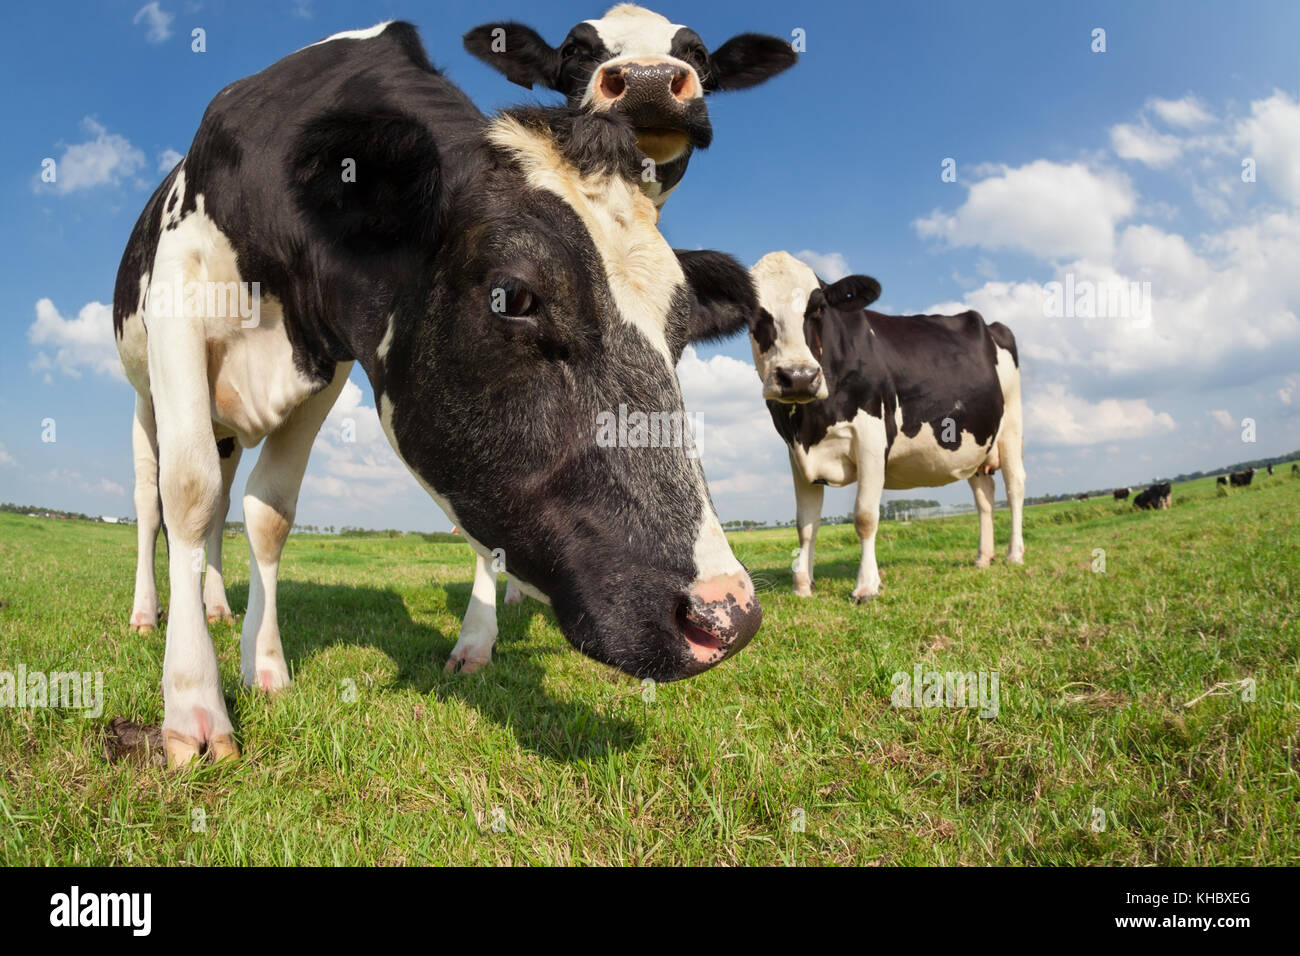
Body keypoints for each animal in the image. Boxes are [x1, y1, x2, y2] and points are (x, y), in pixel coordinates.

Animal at [114, 21, 763, 766]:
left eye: (681, 330)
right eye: (515, 298)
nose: (726, 615)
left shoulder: (329, 365)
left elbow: (268, 513)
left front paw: (265, 666)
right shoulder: (177, 296)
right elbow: (187, 494)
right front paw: (194, 706)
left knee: (225, 500)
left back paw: (219, 605)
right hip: (144, 399)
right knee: (156, 502)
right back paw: (146, 613)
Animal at [746, 252, 1025, 603]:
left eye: (819, 307)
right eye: (750, 311)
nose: (798, 376)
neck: (810, 421)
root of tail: (990, 324)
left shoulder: (870, 438)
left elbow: (865, 516)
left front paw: (866, 586)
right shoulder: (797, 452)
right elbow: (805, 524)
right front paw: (802, 586)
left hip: (1011, 426)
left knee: (1015, 486)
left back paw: (1014, 554)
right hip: (974, 442)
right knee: (984, 495)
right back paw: (983, 557)